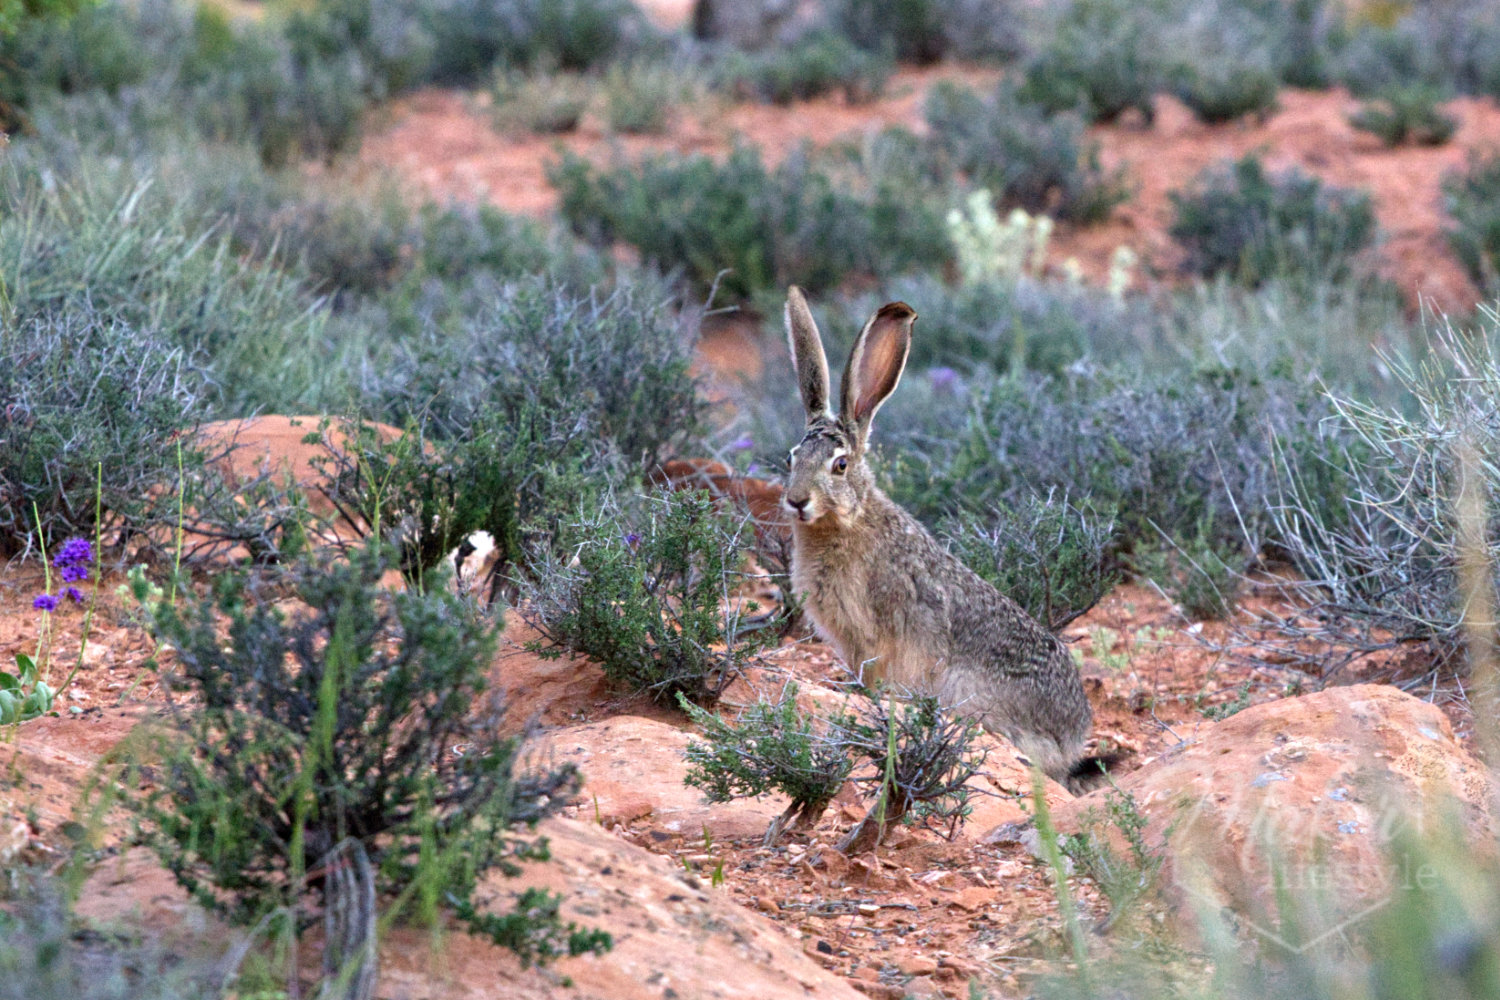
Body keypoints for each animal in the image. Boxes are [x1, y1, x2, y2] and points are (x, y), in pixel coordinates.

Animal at [781, 286, 1112, 794]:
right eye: (791, 458)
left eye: (839, 464)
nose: (797, 501)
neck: (848, 521)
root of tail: (1070, 741)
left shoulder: (878, 633)